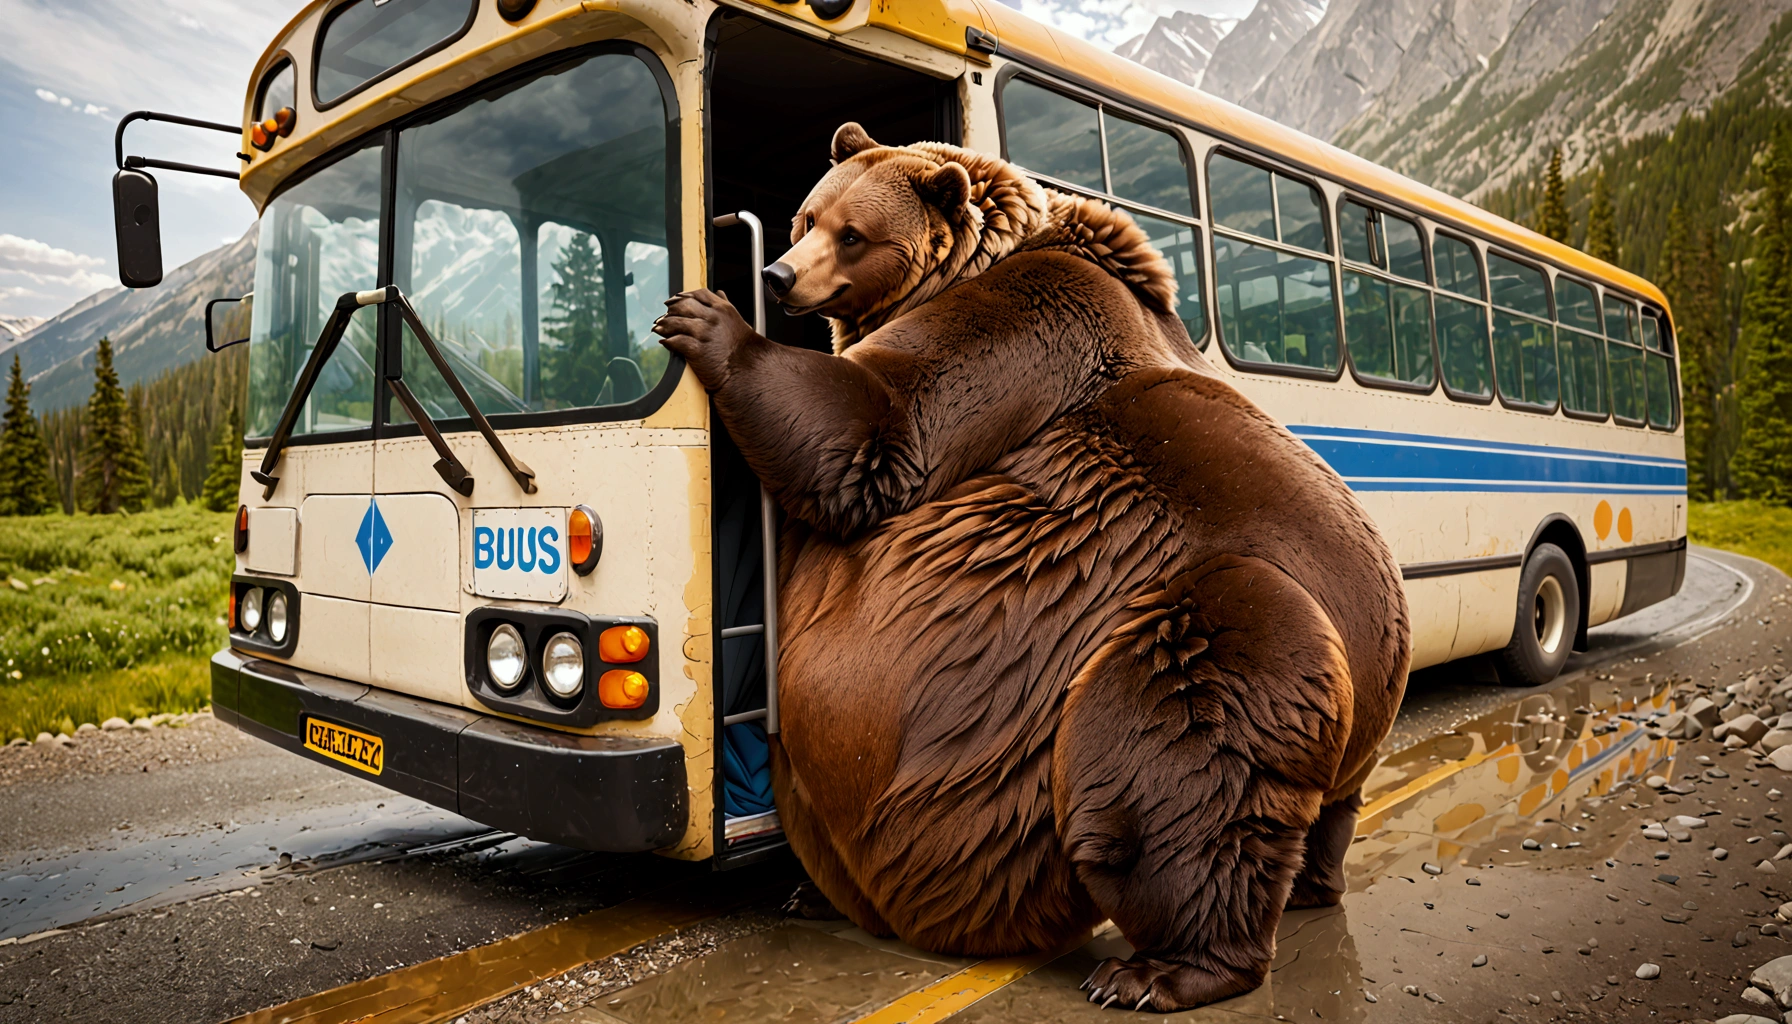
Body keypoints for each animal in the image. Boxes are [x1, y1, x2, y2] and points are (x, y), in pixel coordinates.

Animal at [652, 124, 1404, 1011]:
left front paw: (705, 317)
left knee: (1191, 736)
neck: (971, 262)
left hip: (1187, 634)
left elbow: (876, 428)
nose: (777, 274)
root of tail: (1389, 642)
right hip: (1352, 728)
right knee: (1325, 815)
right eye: (807, 217)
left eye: (852, 234)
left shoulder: (1015, 339)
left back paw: (1157, 970)